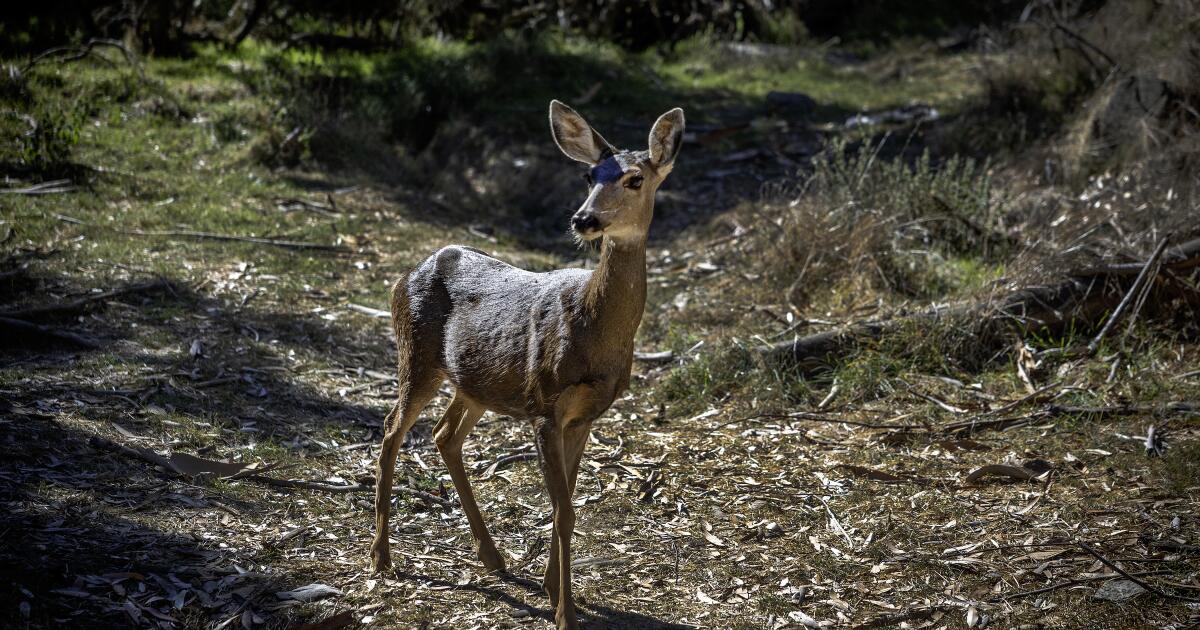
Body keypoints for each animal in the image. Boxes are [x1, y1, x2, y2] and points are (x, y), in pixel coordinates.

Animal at [369, 100, 684, 629]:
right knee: (393, 428)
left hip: (475, 382)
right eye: (588, 175)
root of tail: (408, 273)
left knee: (444, 434)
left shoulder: (585, 415)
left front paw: (552, 589)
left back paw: (493, 557)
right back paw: (381, 557)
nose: (584, 219)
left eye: (635, 178)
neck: (595, 334)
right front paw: (565, 613)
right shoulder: (545, 404)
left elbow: (567, 503)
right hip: (416, 353)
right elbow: (564, 509)